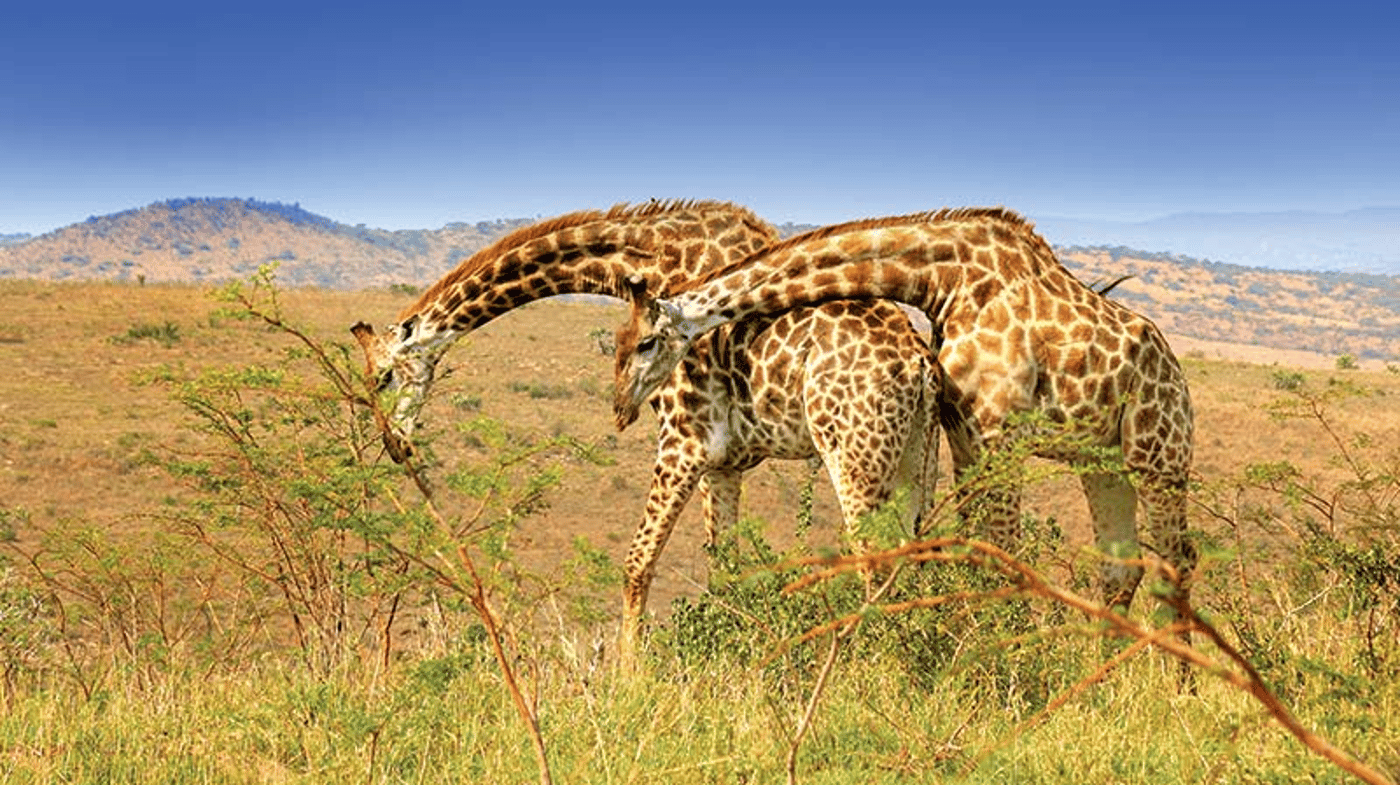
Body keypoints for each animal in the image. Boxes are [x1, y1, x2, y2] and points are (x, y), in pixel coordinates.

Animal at [347, 200, 938, 664]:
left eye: (383, 377)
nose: (394, 445)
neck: (649, 261)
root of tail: (920, 365)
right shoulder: (724, 460)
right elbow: (723, 566)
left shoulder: (683, 439)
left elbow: (637, 563)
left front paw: (629, 677)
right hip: (913, 460)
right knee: (913, 555)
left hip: (853, 454)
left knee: (872, 562)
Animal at [613, 207, 1197, 621]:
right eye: (615, 343)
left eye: (644, 343)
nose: (621, 408)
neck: (945, 280)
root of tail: (1174, 370)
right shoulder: (963, 429)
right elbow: (972, 548)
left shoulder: (997, 429)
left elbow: (999, 551)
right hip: (1102, 463)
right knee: (1121, 570)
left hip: (1158, 452)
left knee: (1177, 559)